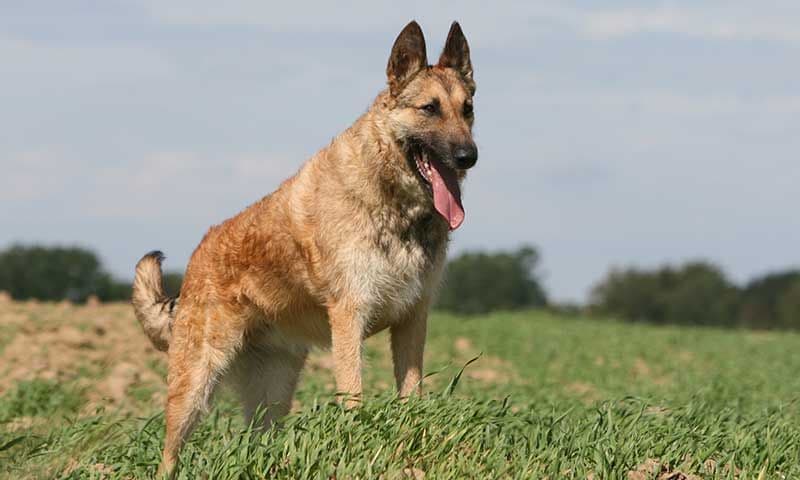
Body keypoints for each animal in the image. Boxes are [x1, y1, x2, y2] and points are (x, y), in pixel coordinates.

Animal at [134, 19, 478, 476]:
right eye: (429, 109)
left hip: (275, 390)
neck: (393, 200)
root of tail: (195, 260)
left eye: (467, 109)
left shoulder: (412, 320)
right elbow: (353, 397)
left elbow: (411, 398)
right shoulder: (350, 318)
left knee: (257, 439)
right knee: (169, 453)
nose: (468, 156)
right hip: (195, 386)